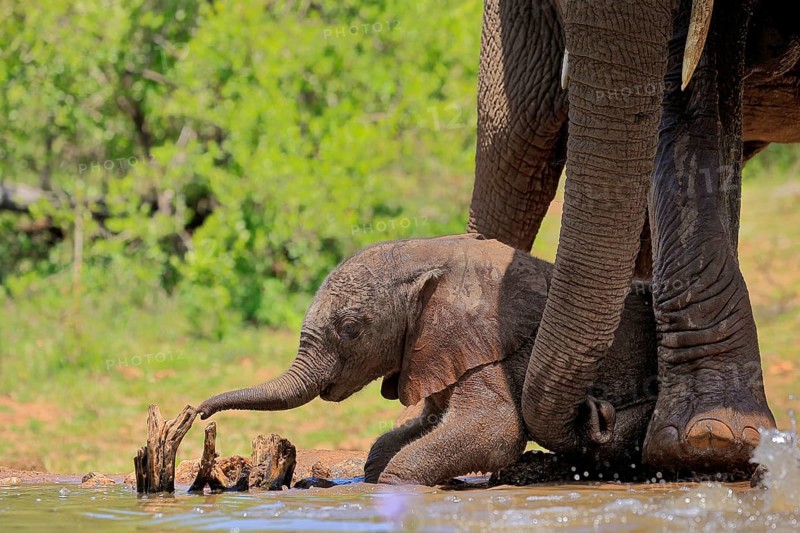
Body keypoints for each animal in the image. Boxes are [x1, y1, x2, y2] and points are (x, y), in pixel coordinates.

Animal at [198, 234, 660, 486]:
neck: (428, 256)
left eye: (350, 329)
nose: (199, 412)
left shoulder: (497, 352)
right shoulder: (432, 350)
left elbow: (496, 430)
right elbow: (408, 434)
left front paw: (394, 486)